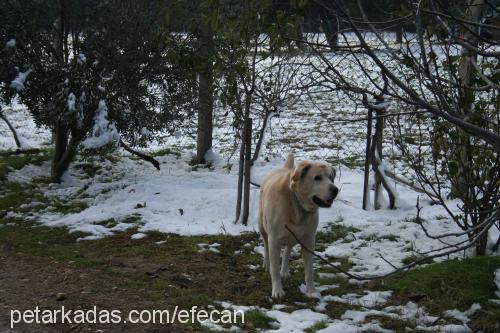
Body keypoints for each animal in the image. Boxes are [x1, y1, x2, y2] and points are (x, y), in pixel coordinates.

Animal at [260, 154, 338, 296]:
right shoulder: (274, 240)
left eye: (330, 177)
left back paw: (284, 270)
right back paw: (266, 264)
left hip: (293, 235)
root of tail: (283, 168)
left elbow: (309, 270)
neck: (297, 205)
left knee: (288, 249)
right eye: (317, 178)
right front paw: (277, 290)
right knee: (266, 245)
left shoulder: (309, 240)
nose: (335, 190)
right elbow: (274, 269)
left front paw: (311, 291)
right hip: (262, 226)